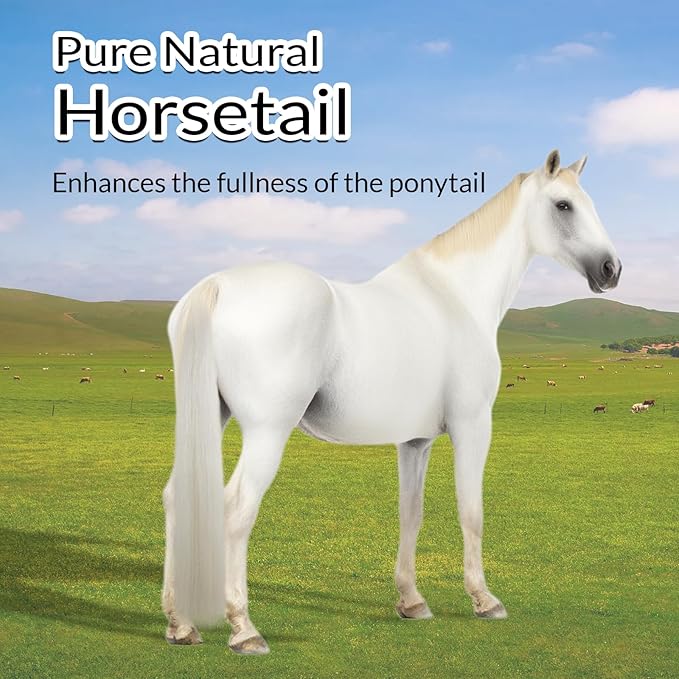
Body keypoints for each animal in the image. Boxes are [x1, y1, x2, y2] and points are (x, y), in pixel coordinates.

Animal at [162, 150, 621, 654]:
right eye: (563, 205)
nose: (611, 269)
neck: (455, 298)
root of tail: (217, 286)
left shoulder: (415, 442)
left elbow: (411, 514)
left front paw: (411, 601)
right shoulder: (472, 426)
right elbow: (471, 510)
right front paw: (484, 600)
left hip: (211, 419)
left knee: (175, 499)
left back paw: (180, 624)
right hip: (267, 432)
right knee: (236, 509)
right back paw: (244, 629)